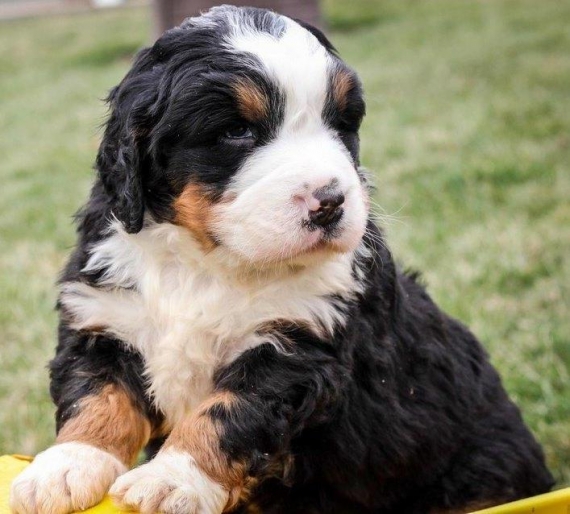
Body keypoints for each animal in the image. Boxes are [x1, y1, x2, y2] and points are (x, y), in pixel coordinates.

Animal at [7, 5, 552, 512]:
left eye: (341, 124)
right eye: (236, 131)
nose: (331, 201)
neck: (206, 265)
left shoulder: (298, 347)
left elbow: (225, 417)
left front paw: (171, 482)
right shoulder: (103, 317)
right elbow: (96, 396)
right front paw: (64, 468)